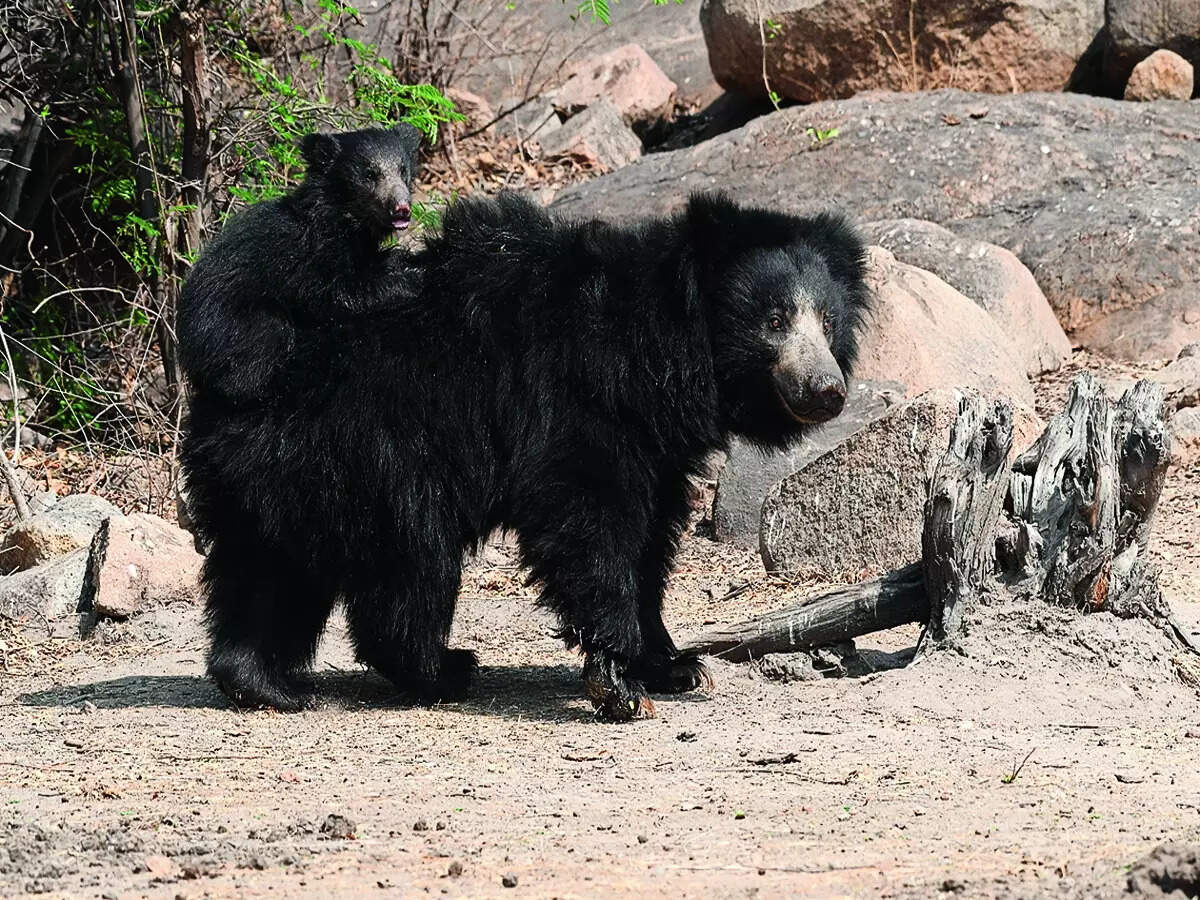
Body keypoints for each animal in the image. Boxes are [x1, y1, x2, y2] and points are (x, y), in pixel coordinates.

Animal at [177, 123, 423, 408]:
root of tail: (186, 352)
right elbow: (333, 294)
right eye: (370, 174)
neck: (347, 221)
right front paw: (413, 278)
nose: (401, 208)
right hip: (233, 325)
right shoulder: (310, 255)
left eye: (403, 170)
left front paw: (401, 259)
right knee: (257, 353)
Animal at [182, 189, 870, 721]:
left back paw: (262, 682)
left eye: (828, 322)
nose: (826, 390)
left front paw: (676, 665)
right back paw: (441, 668)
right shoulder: (579, 401)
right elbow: (588, 517)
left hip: (281, 471)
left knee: (270, 568)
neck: (660, 358)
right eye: (774, 320)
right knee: (409, 563)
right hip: (380, 449)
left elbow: (651, 541)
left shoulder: (658, 446)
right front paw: (620, 680)